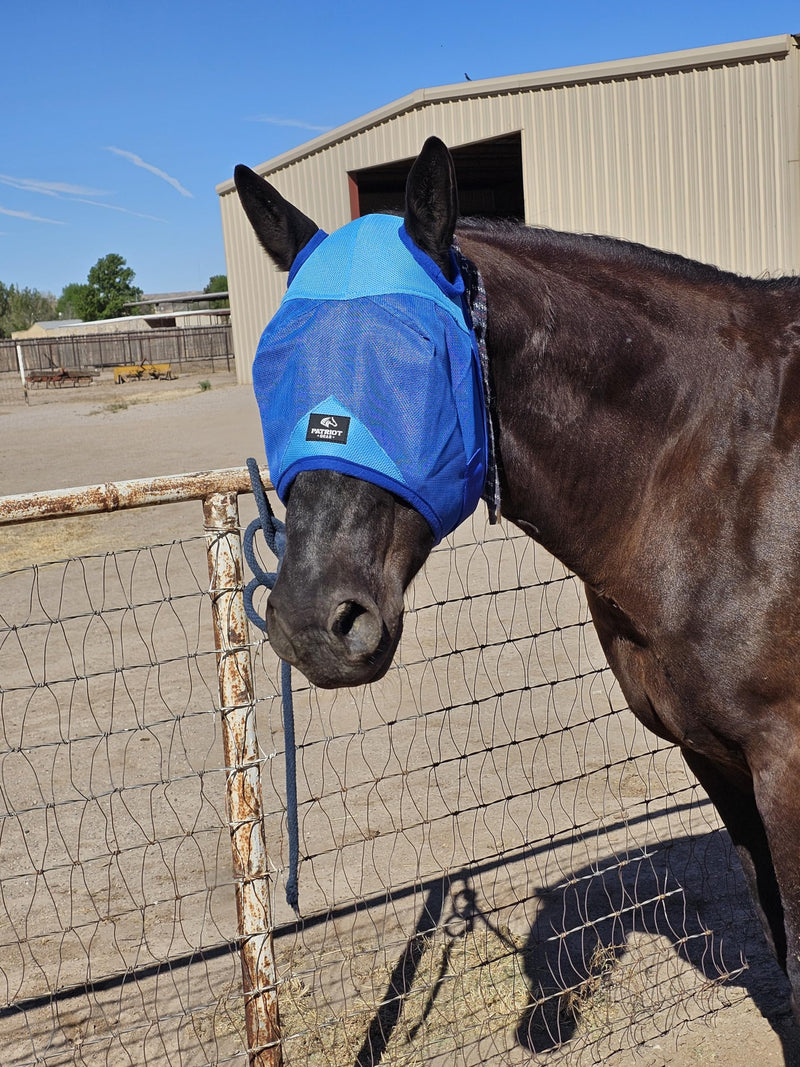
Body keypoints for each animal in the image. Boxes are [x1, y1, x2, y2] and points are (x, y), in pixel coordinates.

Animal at [234, 136, 800, 1025]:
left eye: (414, 366)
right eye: (275, 364)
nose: (312, 623)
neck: (723, 465)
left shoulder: (788, 765)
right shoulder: (720, 761)